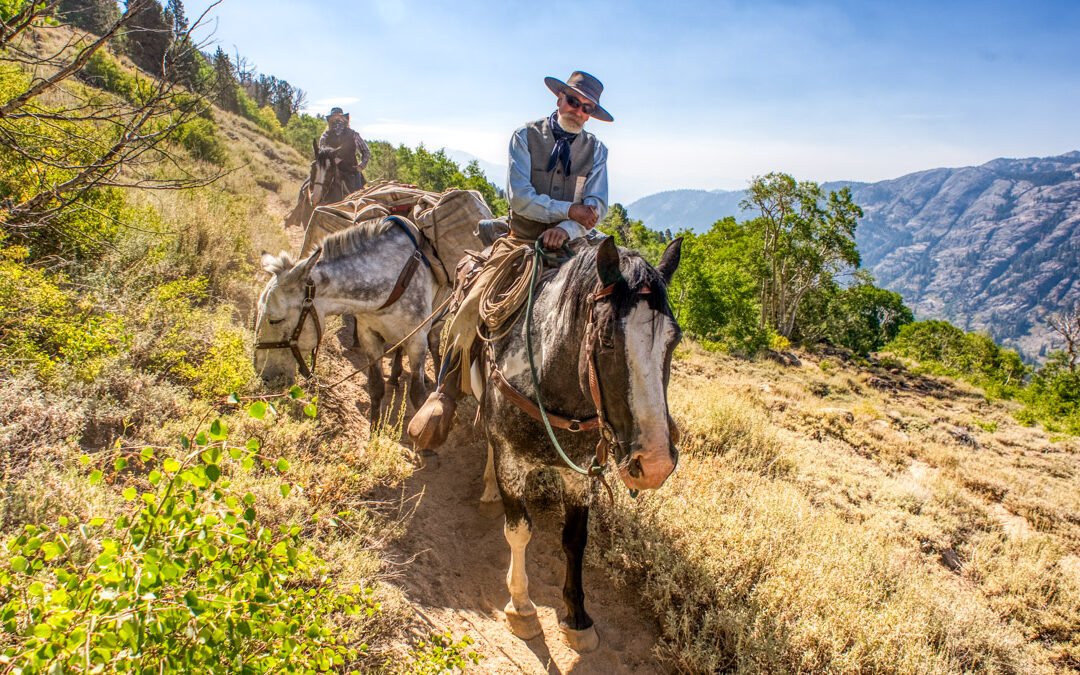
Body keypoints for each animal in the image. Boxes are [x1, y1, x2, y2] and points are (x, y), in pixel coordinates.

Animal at [252, 220, 438, 421]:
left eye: (275, 320)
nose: (264, 377)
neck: (392, 277)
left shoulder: (417, 341)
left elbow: (418, 397)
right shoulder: (369, 335)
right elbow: (376, 388)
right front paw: (375, 428)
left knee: (434, 344)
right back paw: (395, 377)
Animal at [483, 234, 682, 652]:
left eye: (674, 341)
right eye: (606, 340)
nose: (655, 464)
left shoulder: (580, 476)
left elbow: (575, 540)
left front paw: (576, 617)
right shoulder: (511, 462)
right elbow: (519, 530)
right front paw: (521, 606)